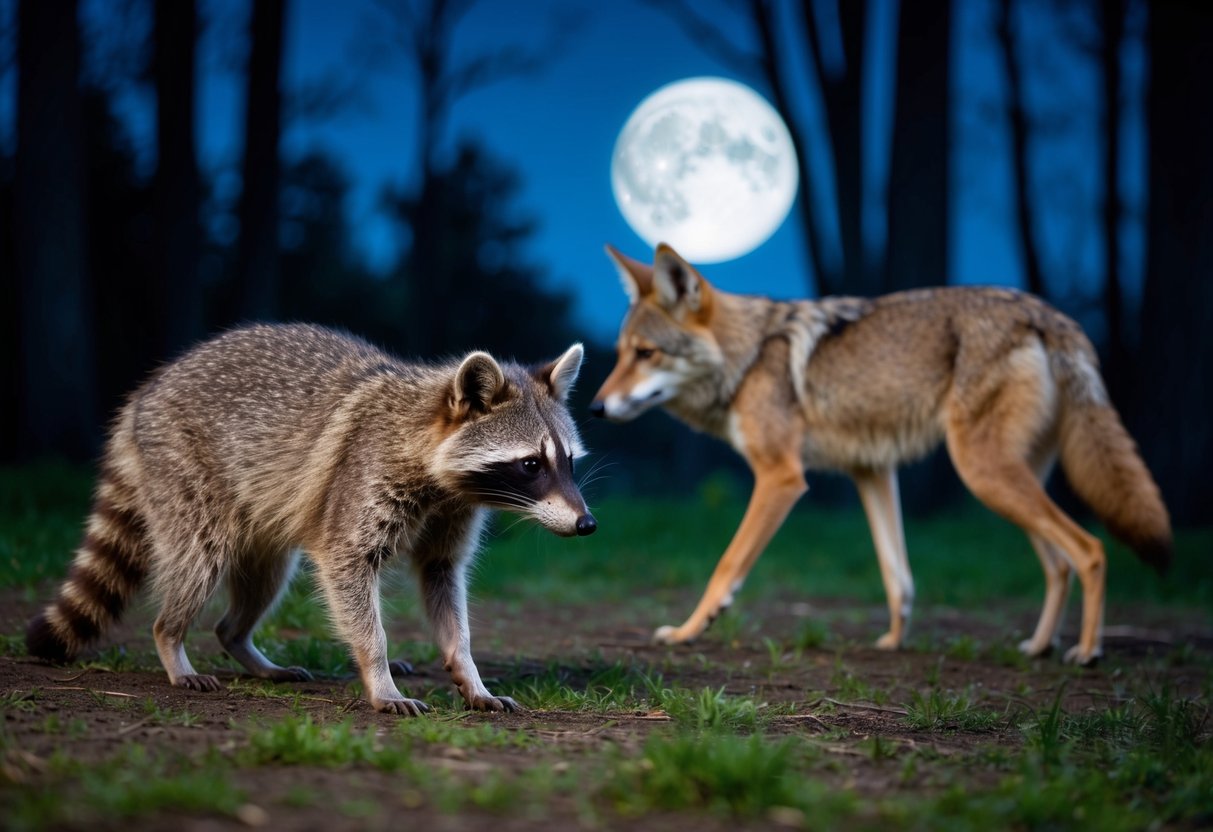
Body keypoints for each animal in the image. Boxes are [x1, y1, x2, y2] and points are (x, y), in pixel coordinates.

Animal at [26, 323, 596, 715]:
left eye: (568, 462)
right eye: (531, 465)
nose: (586, 525)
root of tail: (143, 397)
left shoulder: (451, 514)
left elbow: (443, 581)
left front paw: (469, 671)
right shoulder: (362, 477)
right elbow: (347, 568)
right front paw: (380, 674)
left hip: (256, 519)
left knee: (260, 584)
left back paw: (241, 642)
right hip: (184, 471)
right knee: (199, 559)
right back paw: (172, 640)